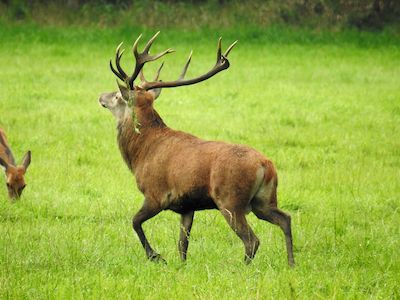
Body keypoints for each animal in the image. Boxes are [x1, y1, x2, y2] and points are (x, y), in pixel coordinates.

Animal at [99, 32, 294, 266]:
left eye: (117, 96)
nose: (101, 96)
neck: (141, 154)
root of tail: (266, 165)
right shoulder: (187, 206)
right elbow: (182, 244)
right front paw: (181, 266)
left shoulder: (155, 194)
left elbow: (135, 222)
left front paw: (156, 256)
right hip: (264, 200)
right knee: (285, 219)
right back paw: (291, 264)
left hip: (230, 200)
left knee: (252, 240)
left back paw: (241, 268)